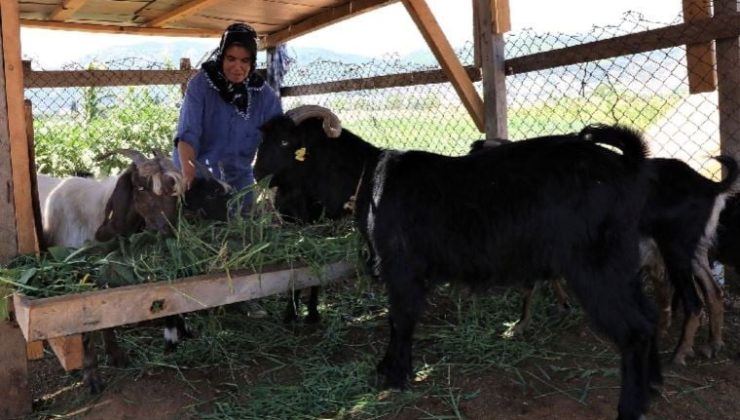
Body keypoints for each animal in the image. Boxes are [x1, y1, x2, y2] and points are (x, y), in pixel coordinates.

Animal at [258, 106, 660, 420]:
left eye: (286, 143)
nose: (257, 174)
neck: (367, 178)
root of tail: (625, 164)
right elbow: (397, 321)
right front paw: (387, 368)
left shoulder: (402, 270)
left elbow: (400, 321)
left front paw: (395, 376)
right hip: (621, 264)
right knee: (649, 317)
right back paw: (653, 386)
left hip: (596, 267)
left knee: (634, 331)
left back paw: (629, 408)